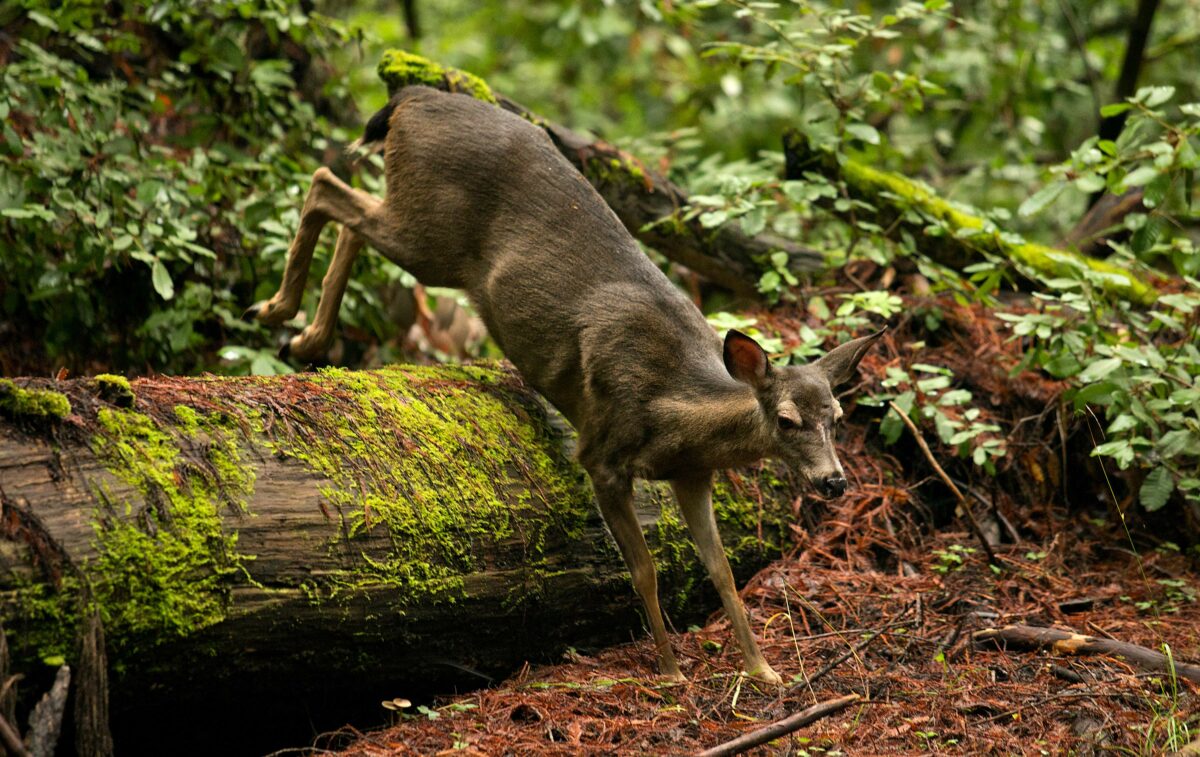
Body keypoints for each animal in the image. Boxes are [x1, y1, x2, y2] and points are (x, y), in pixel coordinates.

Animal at [242, 86, 884, 684]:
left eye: (837, 417)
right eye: (787, 420)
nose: (834, 481)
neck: (674, 408)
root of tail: (412, 97)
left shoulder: (692, 474)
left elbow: (721, 569)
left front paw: (763, 670)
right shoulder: (602, 453)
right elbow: (644, 569)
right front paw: (671, 670)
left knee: (353, 215)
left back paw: (305, 337)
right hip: (430, 232)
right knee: (327, 185)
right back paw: (275, 311)